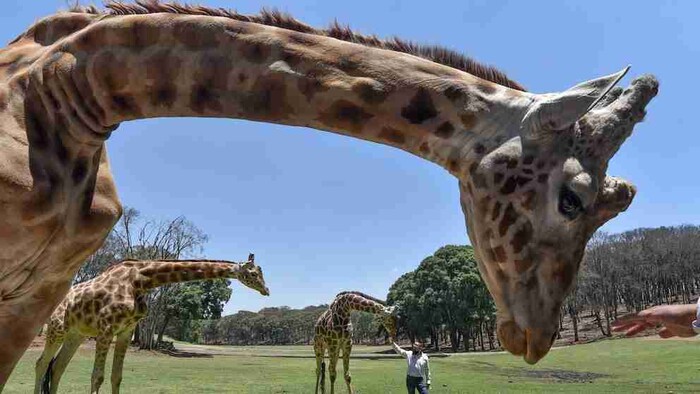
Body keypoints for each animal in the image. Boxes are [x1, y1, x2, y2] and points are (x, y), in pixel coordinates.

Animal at [34, 254, 270, 394]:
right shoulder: (106, 329)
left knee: (57, 367)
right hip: (57, 329)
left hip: (76, 334)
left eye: (261, 272)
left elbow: (116, 377)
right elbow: (97, 377)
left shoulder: (125, 331)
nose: (266, 290)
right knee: (41, 363)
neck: (140, 281)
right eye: (252, 273)